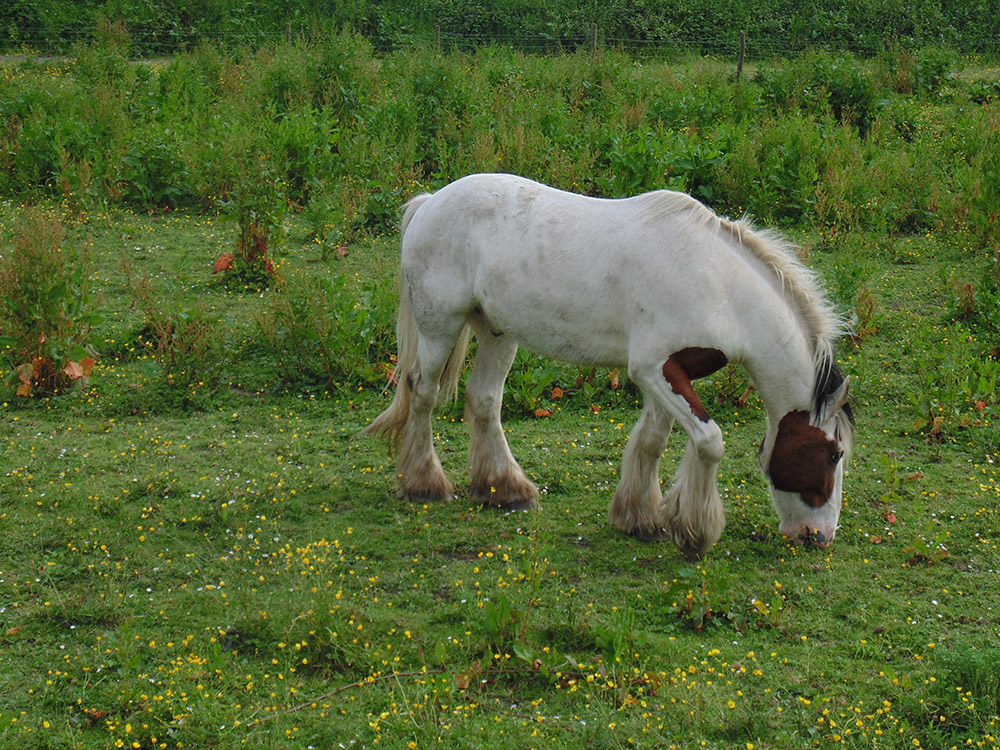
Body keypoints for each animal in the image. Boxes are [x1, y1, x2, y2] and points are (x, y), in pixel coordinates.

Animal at [368, 176, 852, 560]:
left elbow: (653, 441)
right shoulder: (654, 369)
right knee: (423, 392)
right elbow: (710, 441)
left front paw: (640, 518)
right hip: (441, 326)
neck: (719, 288)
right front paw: (694, 531)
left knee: (484, 399)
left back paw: (506, 491)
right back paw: (424, 484)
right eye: (833, 453)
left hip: (497, 331)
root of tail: (430, 201)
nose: (819, 536)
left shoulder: (669, 372)